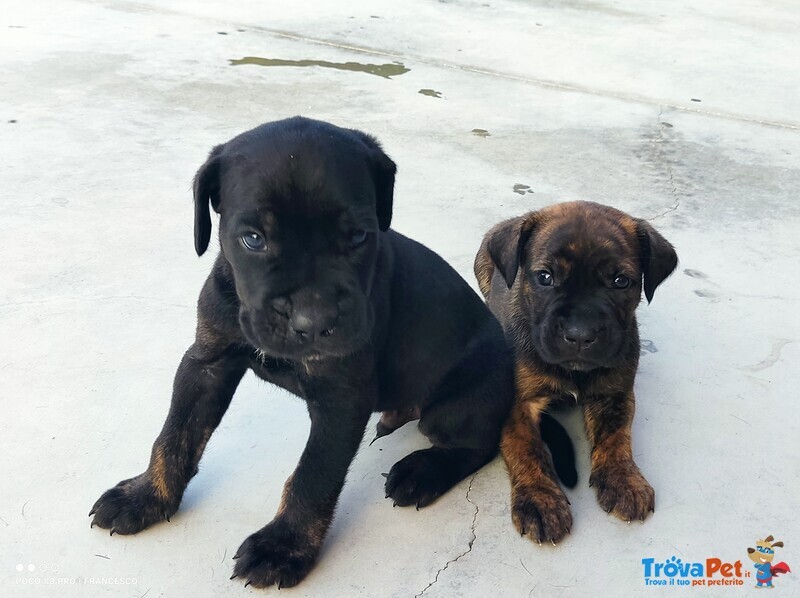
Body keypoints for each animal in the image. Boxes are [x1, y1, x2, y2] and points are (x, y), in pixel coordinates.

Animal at [87, 117, 512, 592]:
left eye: (358, 236)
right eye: (253, 239)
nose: (313, 320)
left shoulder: (340, 398)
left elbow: (313, 475)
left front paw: (282, 547)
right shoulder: (207, 363)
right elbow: (175, 434)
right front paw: (146, 496)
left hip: (458, 405)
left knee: (477, 444)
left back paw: (423, 472)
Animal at [476, 202, 676, 544]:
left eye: (621, 281)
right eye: (545, 277)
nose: (580, 335)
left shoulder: (615, 394)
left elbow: (616, 437)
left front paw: (624, 480)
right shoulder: (516, 404)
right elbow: (526, 449)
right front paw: (540, 500)